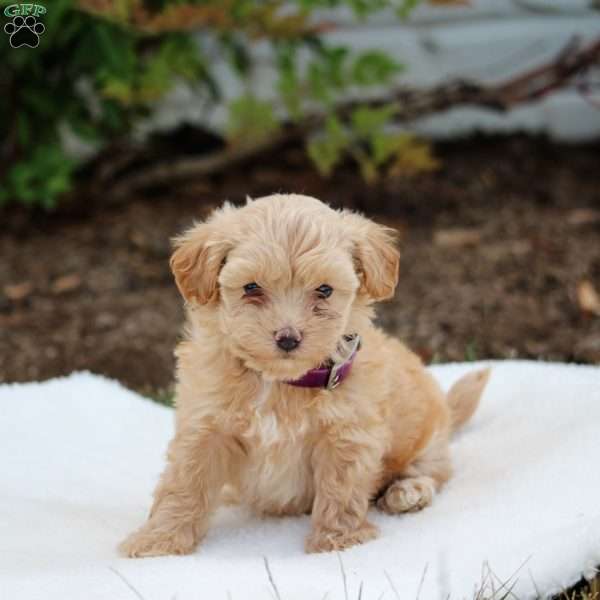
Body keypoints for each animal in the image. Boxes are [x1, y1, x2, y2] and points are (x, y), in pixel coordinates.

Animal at [119, 195, 490, 556]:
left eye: (324, 290)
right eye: (251, 287)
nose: (288, 338)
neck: (279, 382)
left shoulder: (347, 434)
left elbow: (341, 489)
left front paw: (339, 540)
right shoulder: (204, 427)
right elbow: (184, 484)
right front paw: (159, 541)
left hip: (428, 440)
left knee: (432, 472)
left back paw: (408, 492)